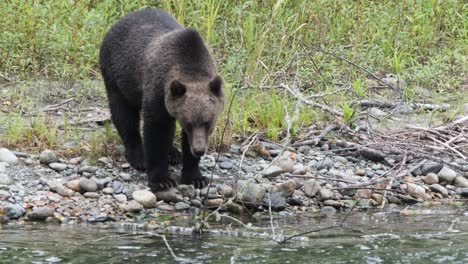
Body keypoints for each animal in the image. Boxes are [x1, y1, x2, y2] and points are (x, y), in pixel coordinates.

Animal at [98, 8, 225, 190]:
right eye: (189, 123)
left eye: (208, 123)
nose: (199, 150)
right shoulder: (158, 91)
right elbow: (156, 131)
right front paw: (162, 180)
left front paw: (196, 177)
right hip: (117, 75)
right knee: (124, 114)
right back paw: (138, 156)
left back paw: (173, 153)